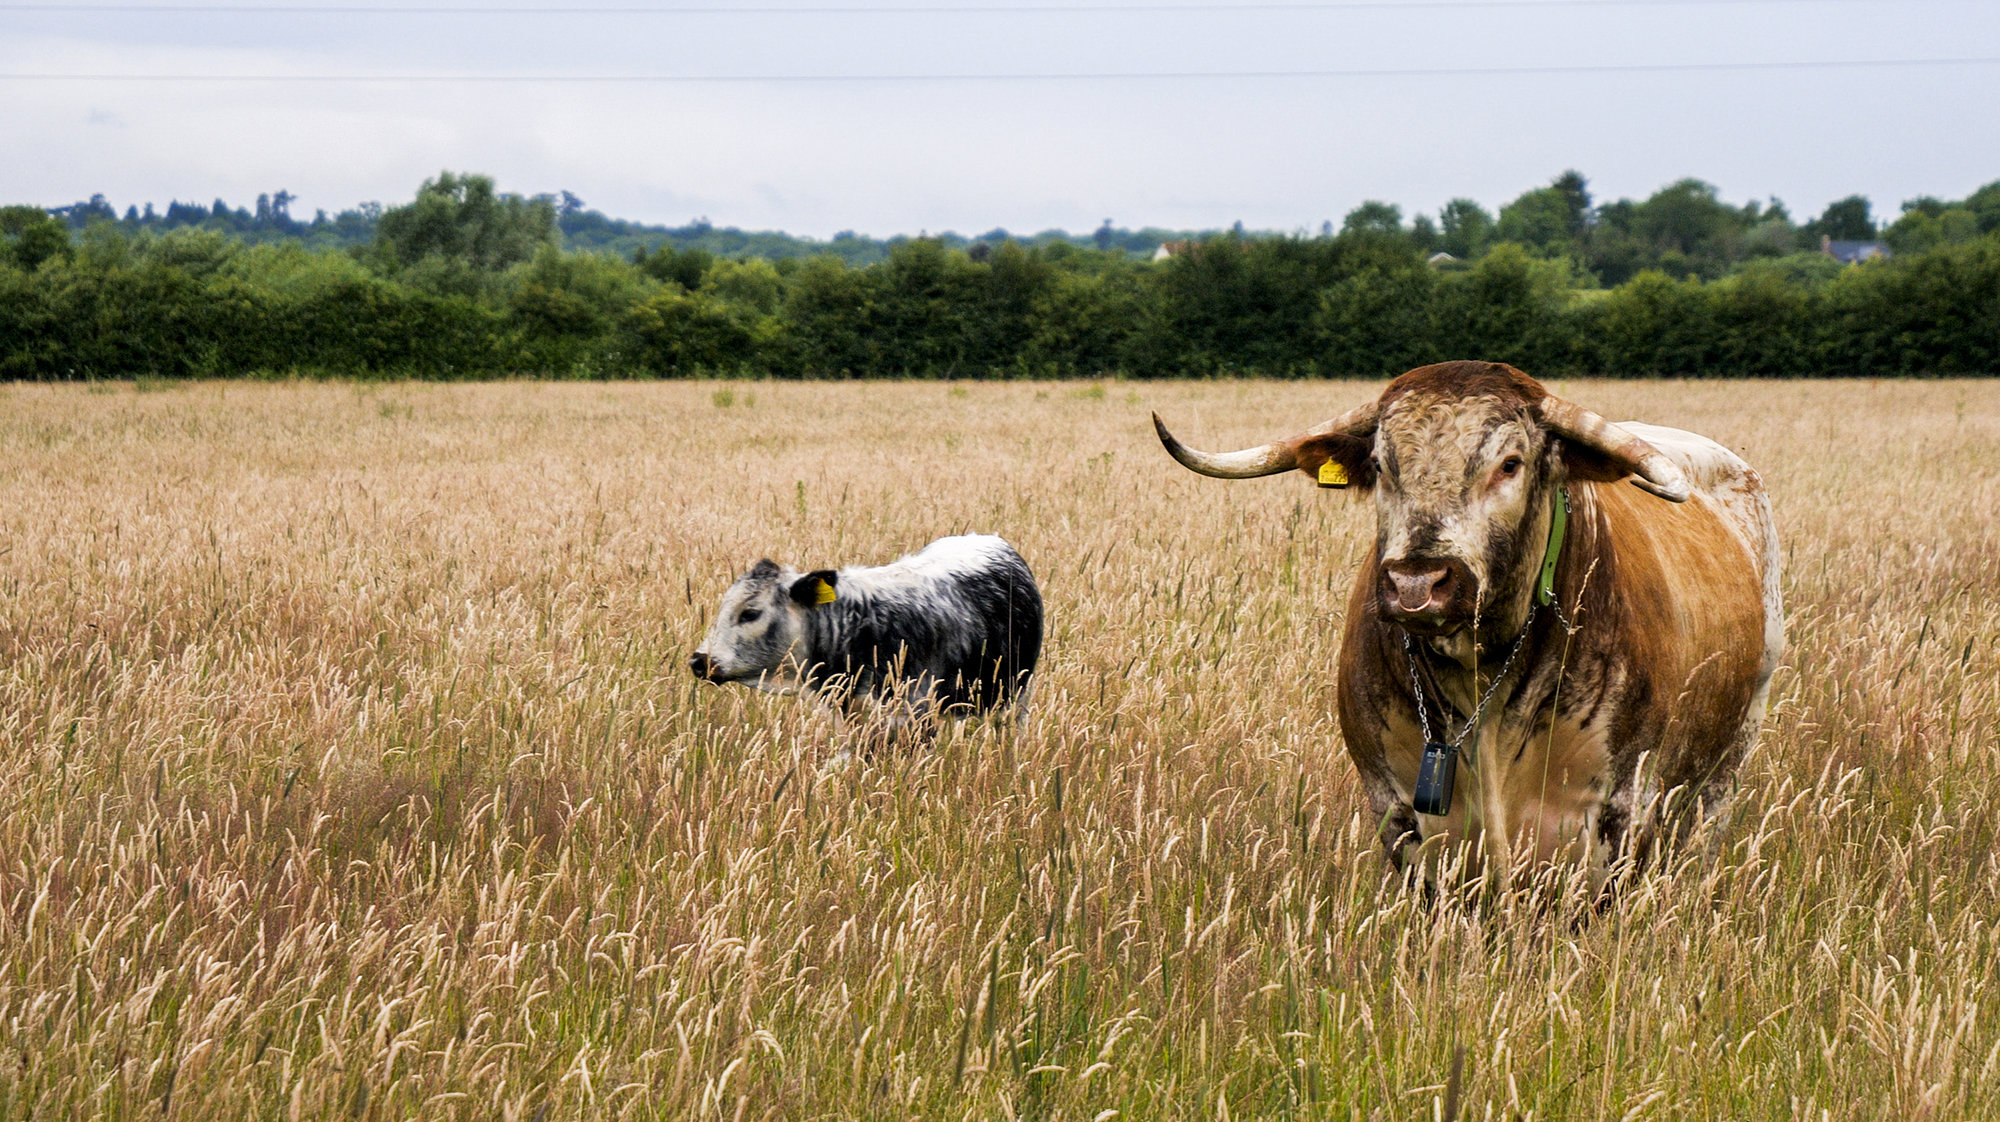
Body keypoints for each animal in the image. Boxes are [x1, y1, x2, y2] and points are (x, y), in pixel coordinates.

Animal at [1154, 361, 1782, 890]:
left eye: (1510, 464)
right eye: (1380, 466)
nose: (1416, 583)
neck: (1482, 679)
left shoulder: (1619, 809)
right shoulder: (1398, 811)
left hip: (1730, 756)